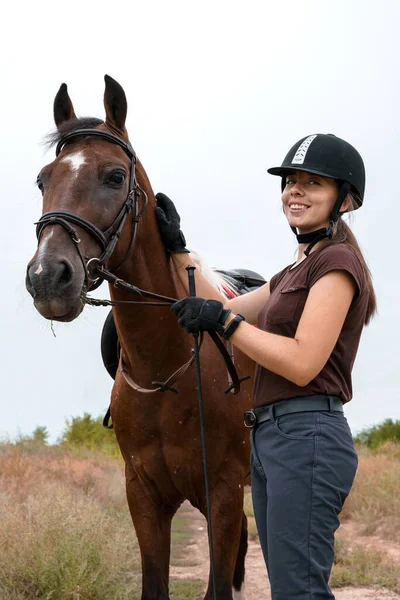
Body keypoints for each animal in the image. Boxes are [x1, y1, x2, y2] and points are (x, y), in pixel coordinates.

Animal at [25, 75, 256, 600]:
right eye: (43, 180)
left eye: (114, 176)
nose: (47, 277)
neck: (168, 370)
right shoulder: (145, 498)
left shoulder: (224, 494)